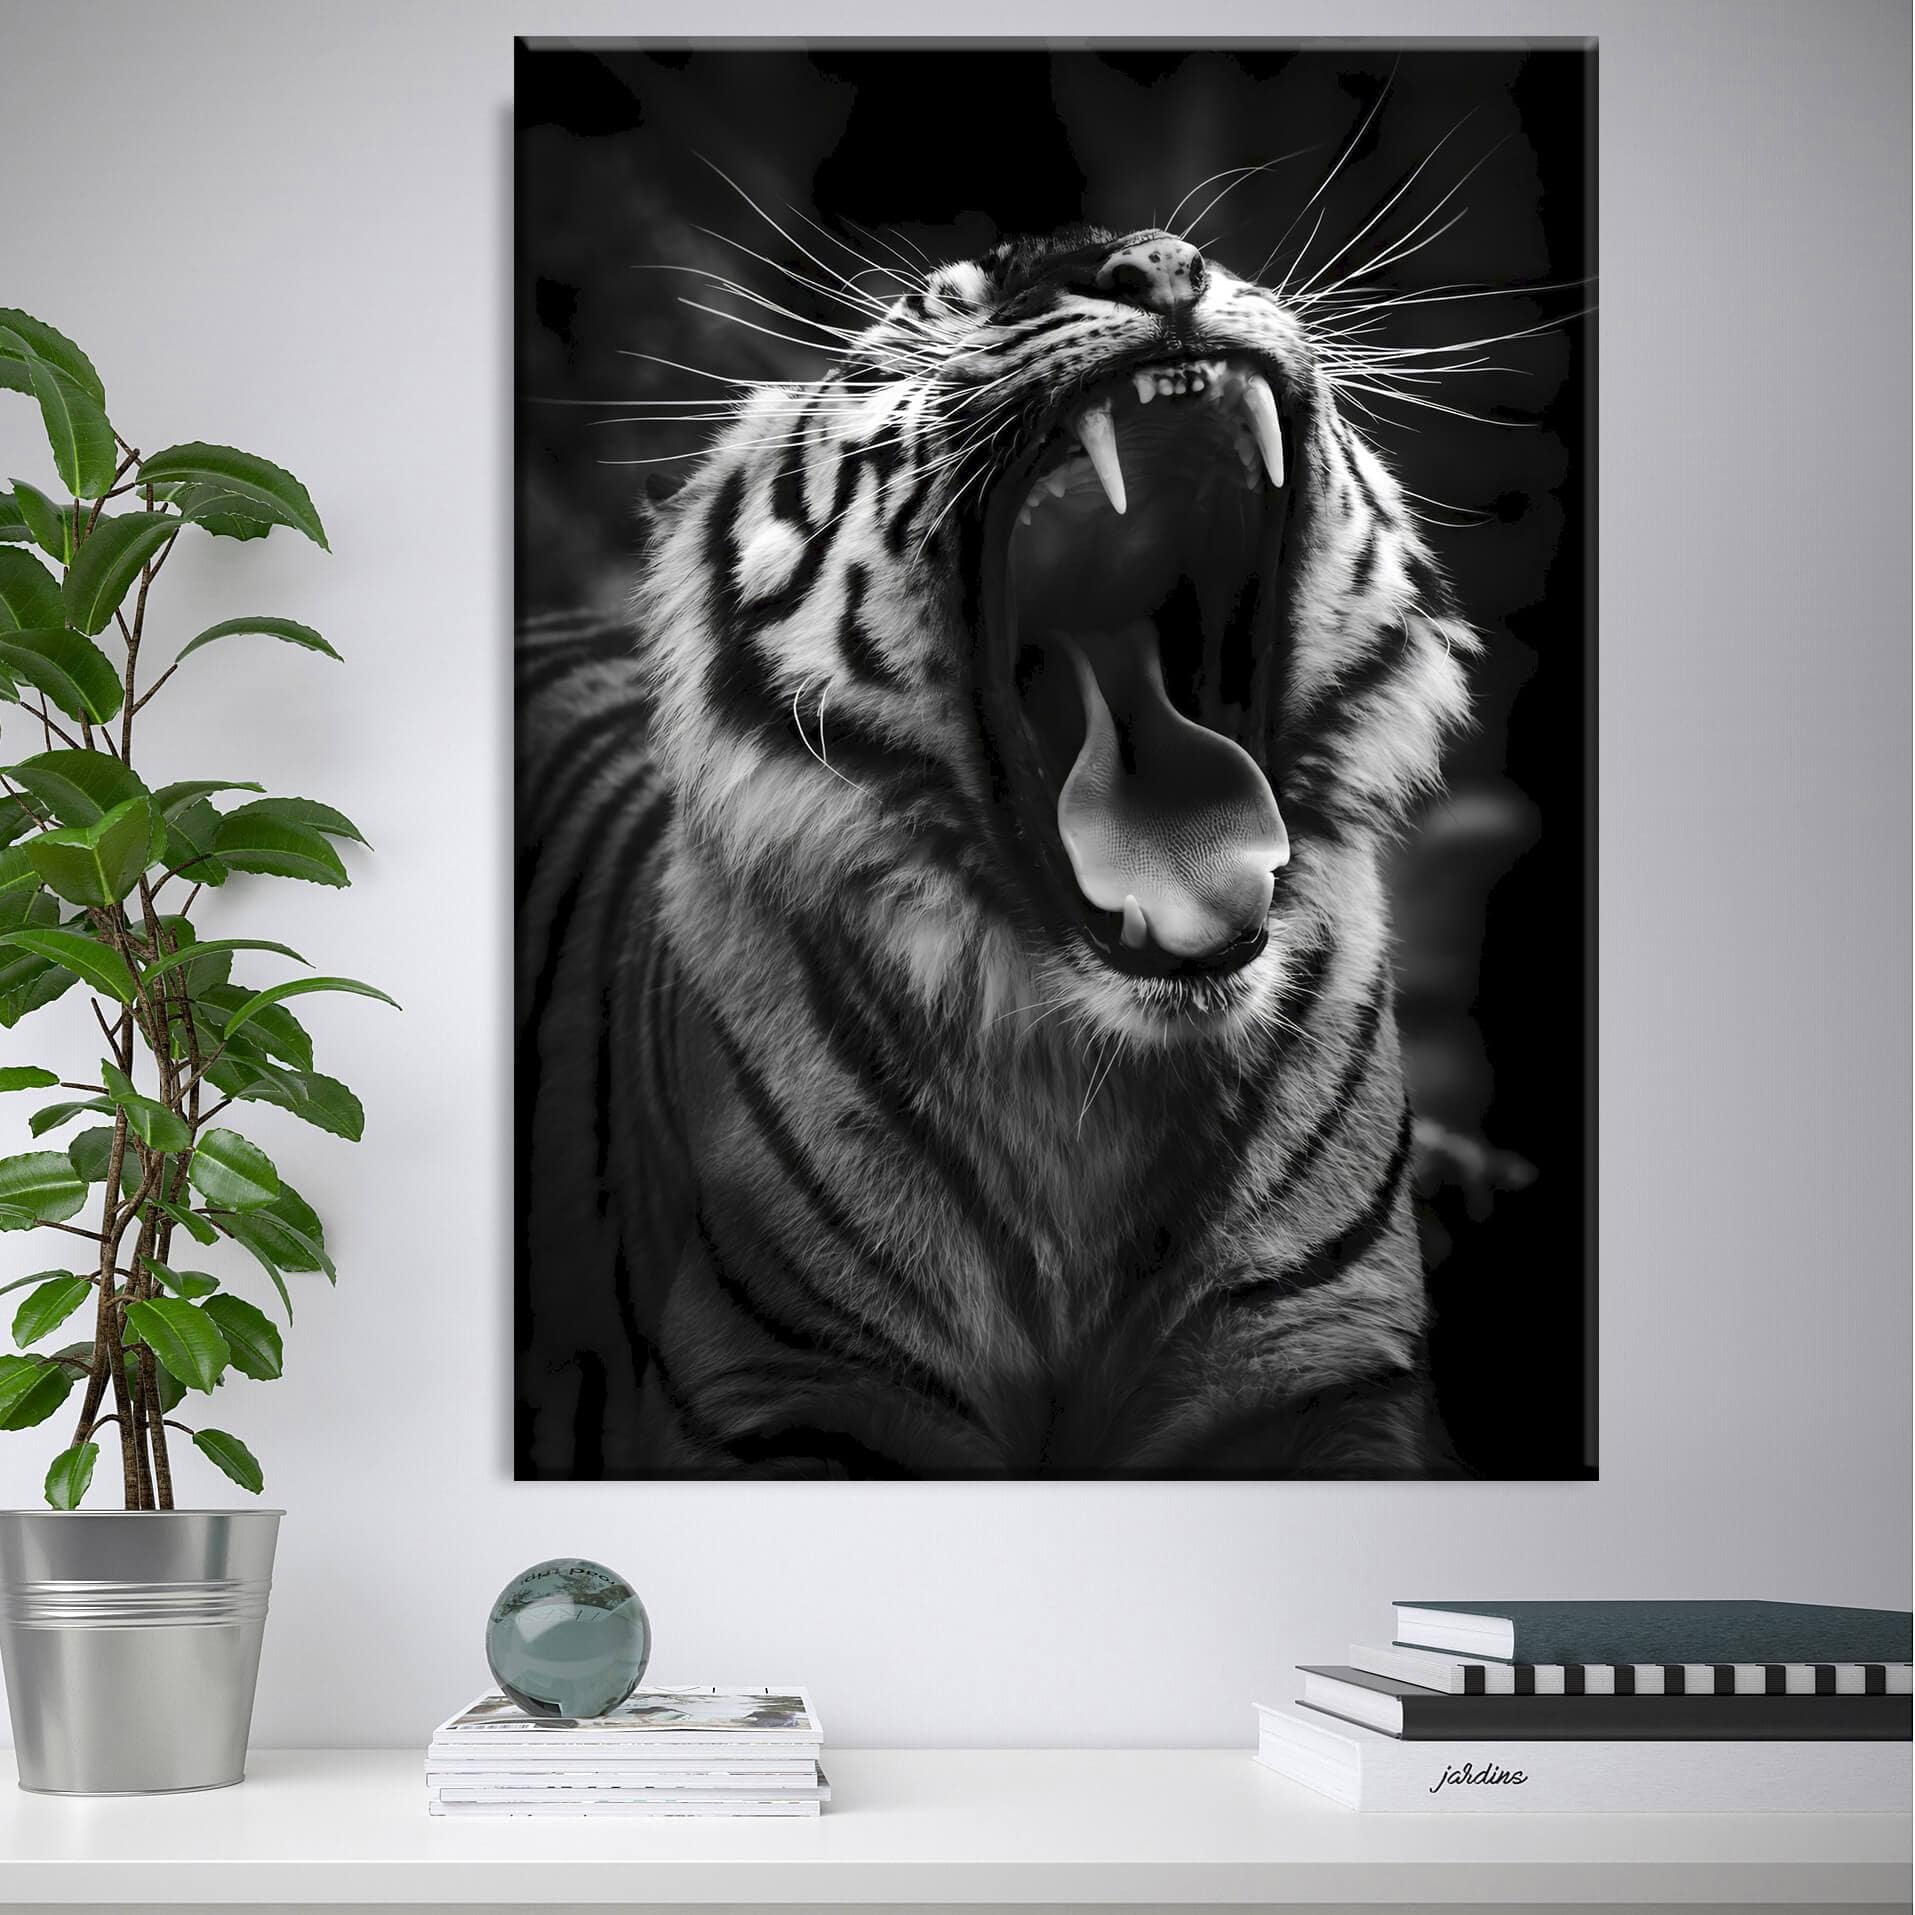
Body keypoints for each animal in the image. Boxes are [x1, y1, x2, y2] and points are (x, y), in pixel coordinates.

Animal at [516, 222, 1479, 1479]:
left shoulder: (1325, 1366)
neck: (1095, 1079)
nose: (1157, 267)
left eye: (1196, 259)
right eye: (943, 306)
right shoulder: (792, 1390)